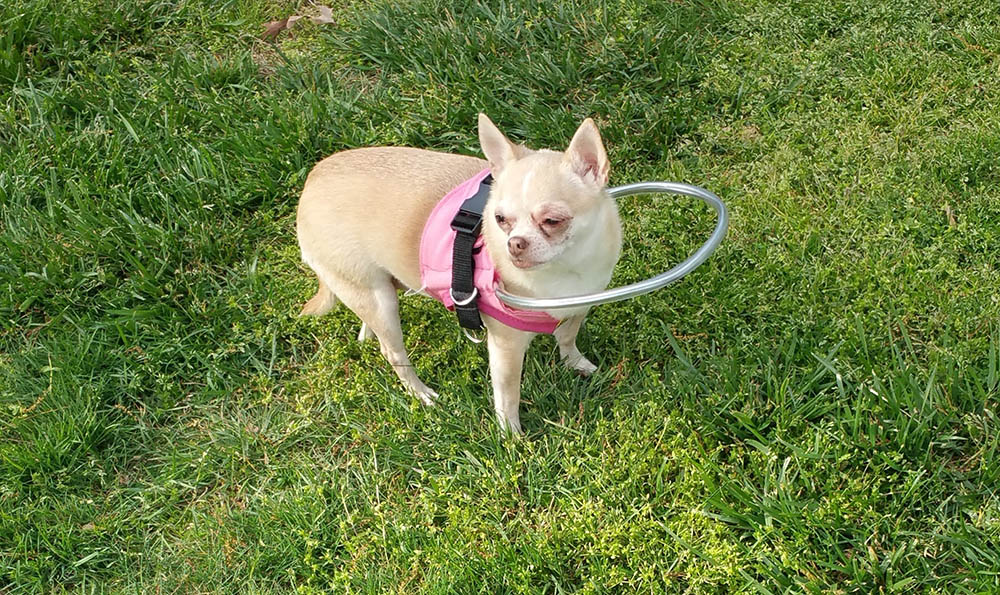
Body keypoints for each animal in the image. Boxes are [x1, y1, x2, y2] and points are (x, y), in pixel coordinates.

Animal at [296, 115, 620, 434]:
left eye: (552, 221)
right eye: (500, 219)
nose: (514, 243)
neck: (566, 270)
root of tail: (311, 182)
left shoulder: (579, 306)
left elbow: (567, 337)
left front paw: (576, 363)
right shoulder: (506, 346)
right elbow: (508, 395)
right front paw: (511, 435)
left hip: (378, 284)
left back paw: (367, 333)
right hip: (379, 300)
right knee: (393, 352)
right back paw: (420, 393)